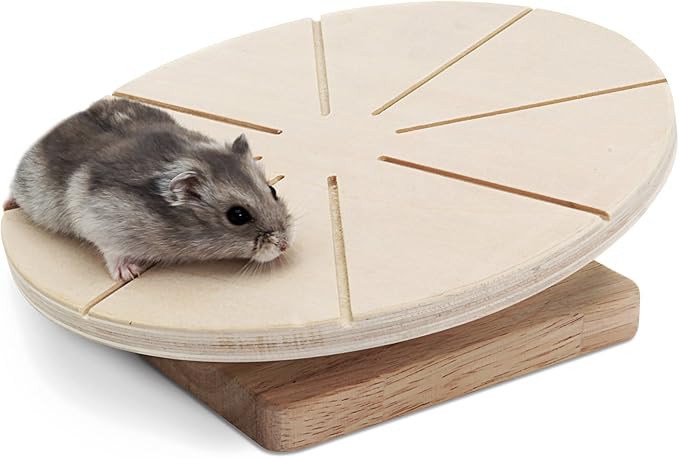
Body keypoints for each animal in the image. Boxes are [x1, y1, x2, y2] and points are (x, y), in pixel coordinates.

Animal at [6, 98, 293, 281]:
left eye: (273, 190)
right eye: (237, 215)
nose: (285, 246)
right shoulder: (102, 226)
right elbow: (113, 253)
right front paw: (129, 274)